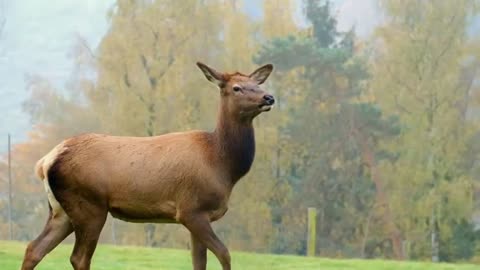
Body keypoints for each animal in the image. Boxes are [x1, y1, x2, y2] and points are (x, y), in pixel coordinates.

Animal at [21, 61, 274, 270]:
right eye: (237, 88)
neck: (223, 166)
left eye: (258, 84)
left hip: (61, 209)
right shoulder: (191, 209)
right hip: (89, 205)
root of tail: (47, 160)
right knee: (79, 257)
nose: (269, 97)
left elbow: (199, 262)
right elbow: (224, 254)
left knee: (34, 249)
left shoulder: (201, 215)